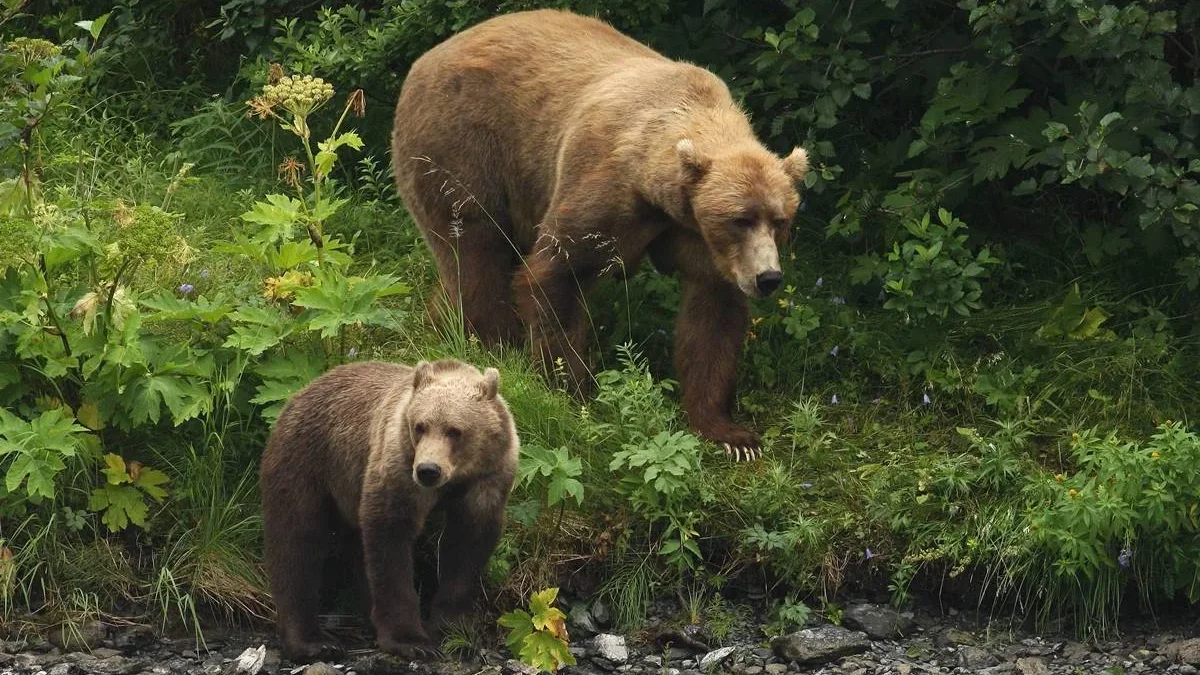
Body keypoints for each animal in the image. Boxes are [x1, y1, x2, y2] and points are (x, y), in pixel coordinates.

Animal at [391, 7, 806, 456]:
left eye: (781, 220)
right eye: (740, 219)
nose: (768, 277)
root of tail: (424, 59)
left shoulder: (698, 237)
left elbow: (712, 317)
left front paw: (730, 434)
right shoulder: (608, 189)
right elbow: (557, 275)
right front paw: (574, 392)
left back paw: (441, 329)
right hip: (463, 146)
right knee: (476, 249)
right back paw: (488, 348)